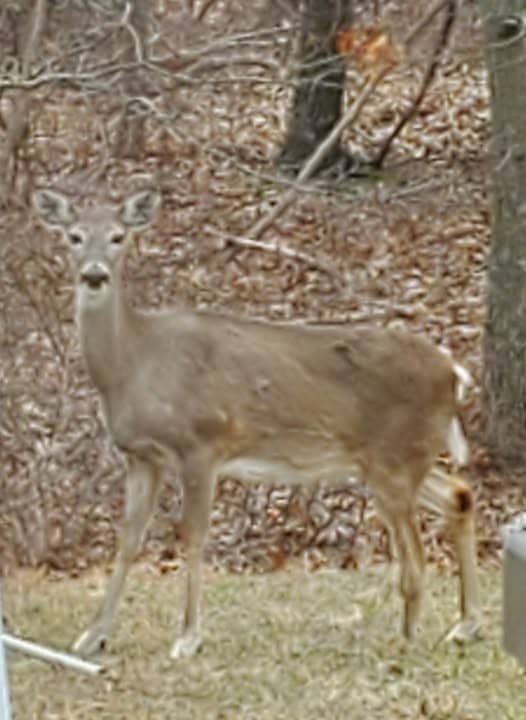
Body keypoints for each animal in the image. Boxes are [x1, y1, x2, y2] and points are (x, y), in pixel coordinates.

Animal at [32, 187, 481, 659]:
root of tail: (453, 371)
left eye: (118, 237)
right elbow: (128, 540)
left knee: (416, 555)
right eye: (74, 236)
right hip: (393, 460)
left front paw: (187, 636)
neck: (134, 365)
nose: (94, 275)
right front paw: (92, 635)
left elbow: (194, 536)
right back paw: (463, 625)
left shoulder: (201, 444)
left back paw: (408, 636)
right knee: (458, 494)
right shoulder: (141, 456)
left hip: (395, 460)